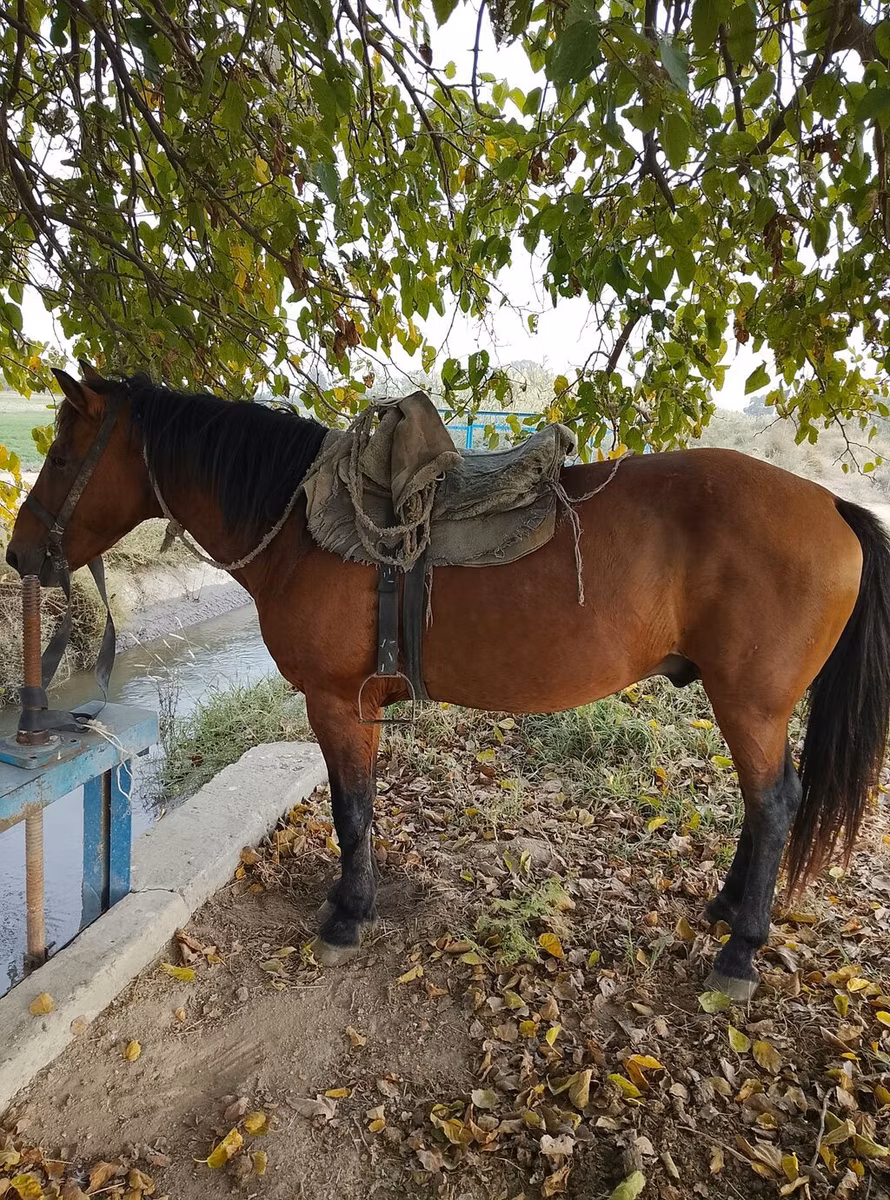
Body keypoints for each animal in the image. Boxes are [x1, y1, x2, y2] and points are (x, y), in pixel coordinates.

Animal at [7, 364, 890, 1001]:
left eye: (62, 455)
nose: (19, 554)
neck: (300, 527)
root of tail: (831, 505)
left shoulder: (336, 703)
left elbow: (351, 810)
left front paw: (347, 917)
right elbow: (361, 806)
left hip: (751, 705)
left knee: (774, 805)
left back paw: (740, 952)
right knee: (766, 804)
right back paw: (728, 909)